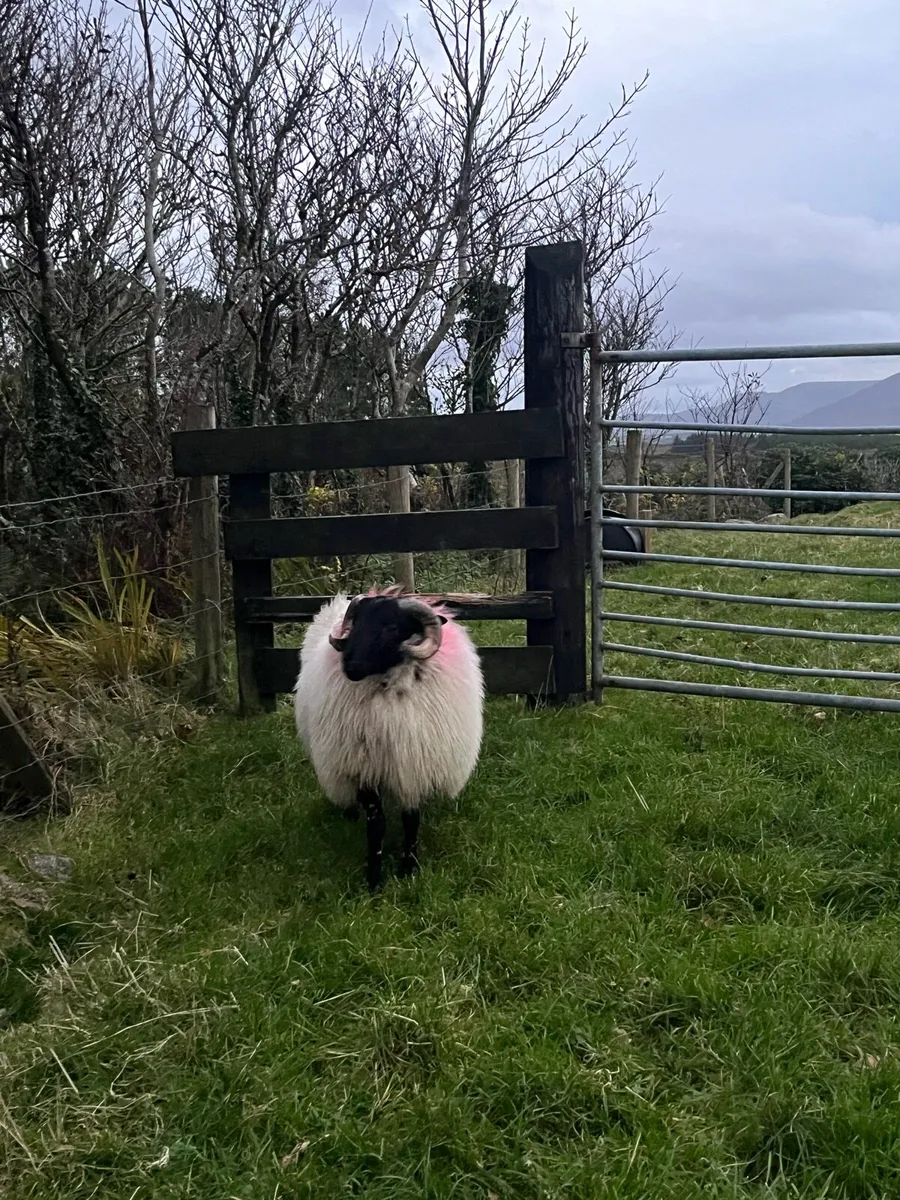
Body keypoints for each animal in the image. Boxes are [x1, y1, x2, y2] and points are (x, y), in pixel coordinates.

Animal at [293, 586, 485, 890]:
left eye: (391, 627)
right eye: (356, 624)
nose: (349, 665)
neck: (391, 689)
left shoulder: (414, 764)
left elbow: (411, 819)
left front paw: (409, 866)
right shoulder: (363, 766)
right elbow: (376, 824)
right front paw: (374, 878)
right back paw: (349, 812)